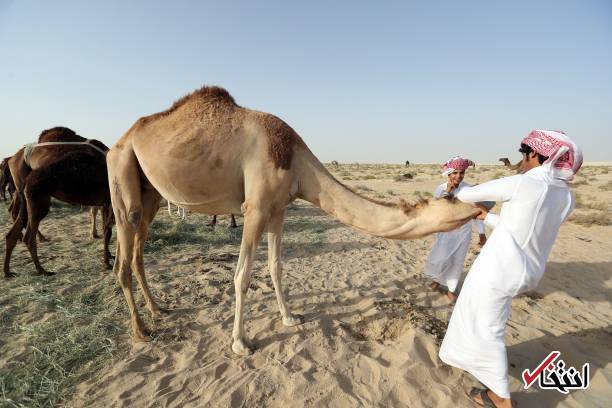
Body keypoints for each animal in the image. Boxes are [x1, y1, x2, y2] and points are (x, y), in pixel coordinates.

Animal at [4, 125, 113, 278]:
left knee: (13, 231)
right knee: (28, 236)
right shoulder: (108, 201)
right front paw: (108, 262)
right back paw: (42, 270)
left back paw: (8, 271)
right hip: (38, 202)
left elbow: (107, 229)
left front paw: (109, 258)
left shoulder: (105, 202)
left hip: (25, 197)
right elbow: (108, 231)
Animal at [104, 85, 478, 354]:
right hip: (121, 172)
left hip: (150, 192)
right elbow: (242, 275)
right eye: (454, 198)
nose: (480, 209)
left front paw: (289, 317)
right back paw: (141, 330)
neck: (295, 159)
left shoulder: (278, 208)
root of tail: (120, 140)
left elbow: (276, 266)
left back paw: (158, 311)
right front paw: (240, 343)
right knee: (123, 253)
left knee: (137, 253)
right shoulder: (254, 207)